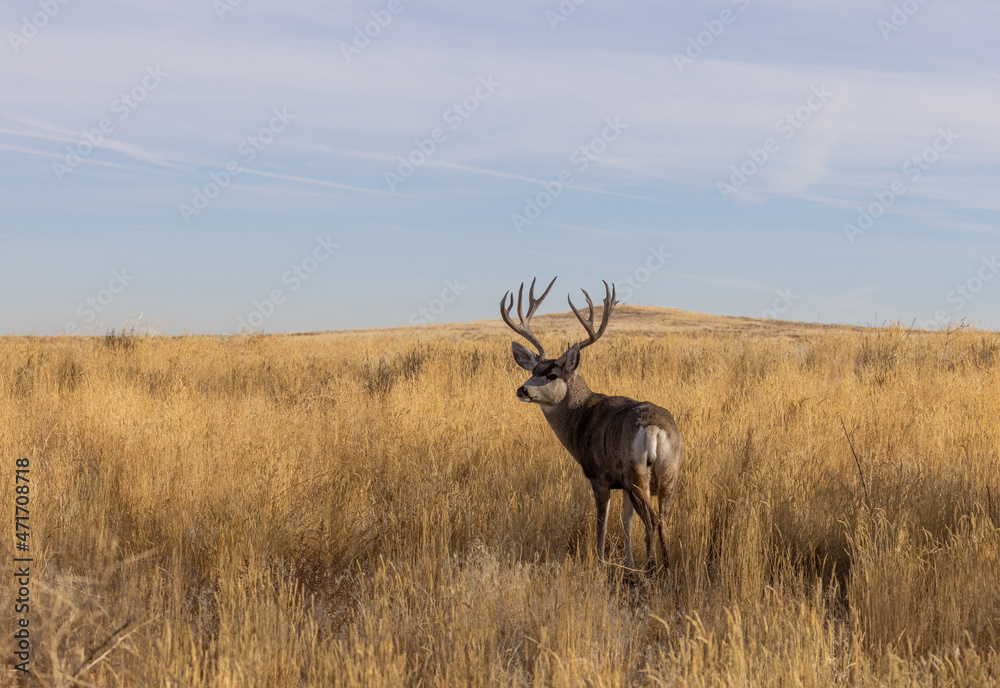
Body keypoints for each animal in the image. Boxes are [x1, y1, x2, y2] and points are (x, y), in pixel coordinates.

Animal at [501, 277, 684, 573]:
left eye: (552, 375)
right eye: (533, 371)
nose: (522, 390)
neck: (580, 419)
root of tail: (654, 430)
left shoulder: (599, 475)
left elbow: (602, 523)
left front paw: (600, 561)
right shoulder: (622, 483)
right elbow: (625, 523)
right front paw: (627, 562)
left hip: (637, 474)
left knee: (651, 520)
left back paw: (651, 568)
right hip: (669, 473)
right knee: (663, 520)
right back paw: (665, 569)